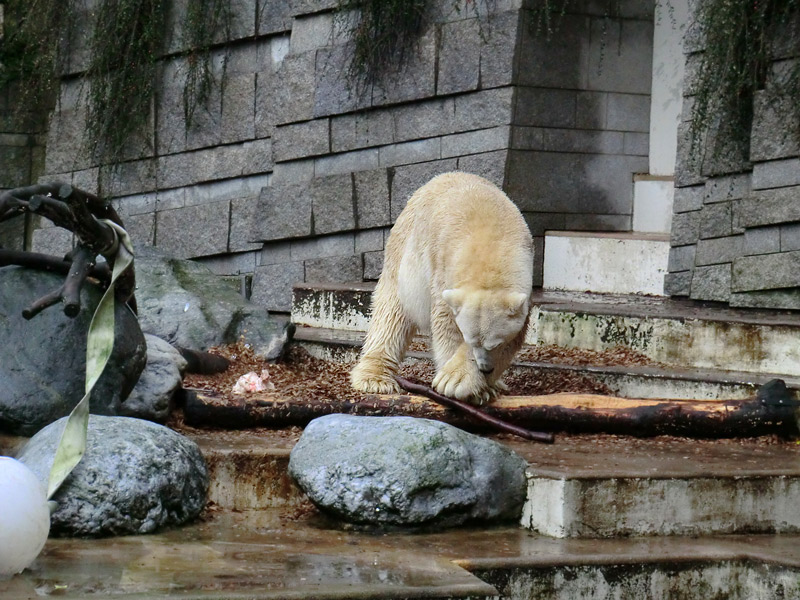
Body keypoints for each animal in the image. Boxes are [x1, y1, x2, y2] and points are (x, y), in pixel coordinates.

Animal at [348, 171, 532, 406]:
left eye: (495, 344)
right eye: (471, 340)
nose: (485, 368)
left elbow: (515, 335)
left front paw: (477, 384)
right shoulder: (443, 270)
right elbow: (447, 326)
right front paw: (458, 382)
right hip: (405, 249)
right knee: (391, 313)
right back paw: (375, 378)